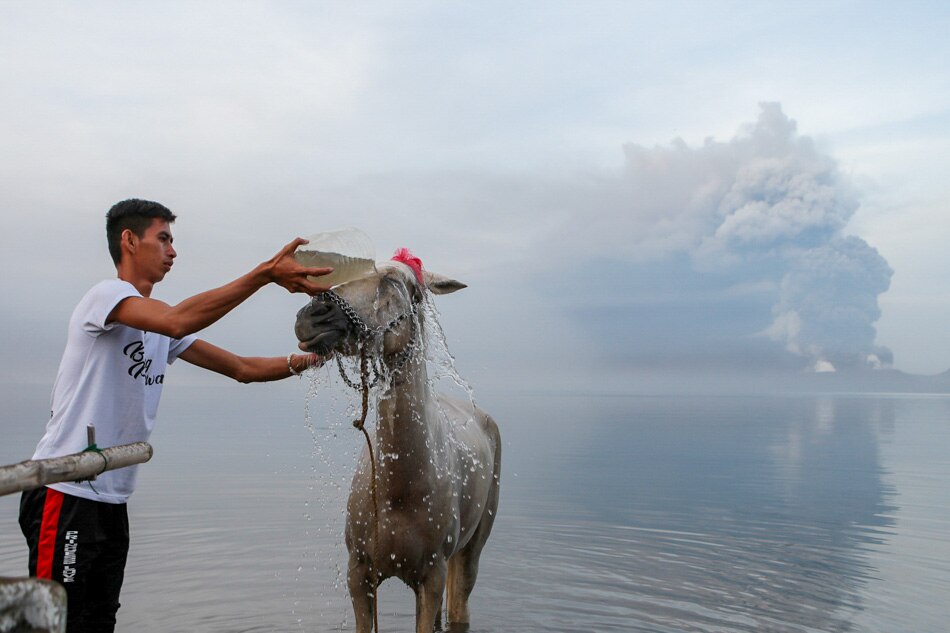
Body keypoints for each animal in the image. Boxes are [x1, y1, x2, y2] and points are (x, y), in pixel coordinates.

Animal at [296, 256, 506, 632]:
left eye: (393, 280)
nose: (313, 315)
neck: (399, 488)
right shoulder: (359, 573)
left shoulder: (432, 575)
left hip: (470, 552)